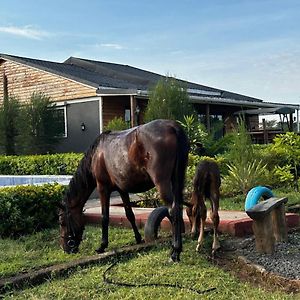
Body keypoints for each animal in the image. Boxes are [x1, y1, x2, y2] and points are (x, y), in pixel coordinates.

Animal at [58, 118, 189, 262]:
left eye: (62, 222)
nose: (66, 248)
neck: (97, 154)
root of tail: (172, 127)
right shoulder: (122, 189)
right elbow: (129, 214)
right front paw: (138, 238)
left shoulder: (103, 188)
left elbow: (105, 217)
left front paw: (102, 246)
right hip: (177, 180)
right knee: (178, 208)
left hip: (162, 182)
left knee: (173, 210)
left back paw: (175, 251)